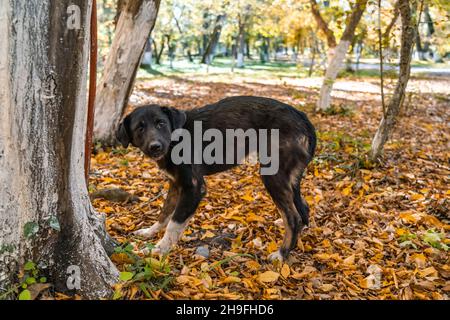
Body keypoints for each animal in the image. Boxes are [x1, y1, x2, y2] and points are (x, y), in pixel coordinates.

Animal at [115, 96, 316, 262]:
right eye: (140, 128)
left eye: (161, 123)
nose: (155, 146)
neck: (176, 139)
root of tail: (302, 116)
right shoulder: (175, 184)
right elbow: (164, 214)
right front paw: (150, 232)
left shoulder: (194, 188)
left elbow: (174, 223)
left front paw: (159, 250)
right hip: (289, 179)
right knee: (303, 208)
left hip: (272, 175)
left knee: (293, 218)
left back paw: (282, 254)